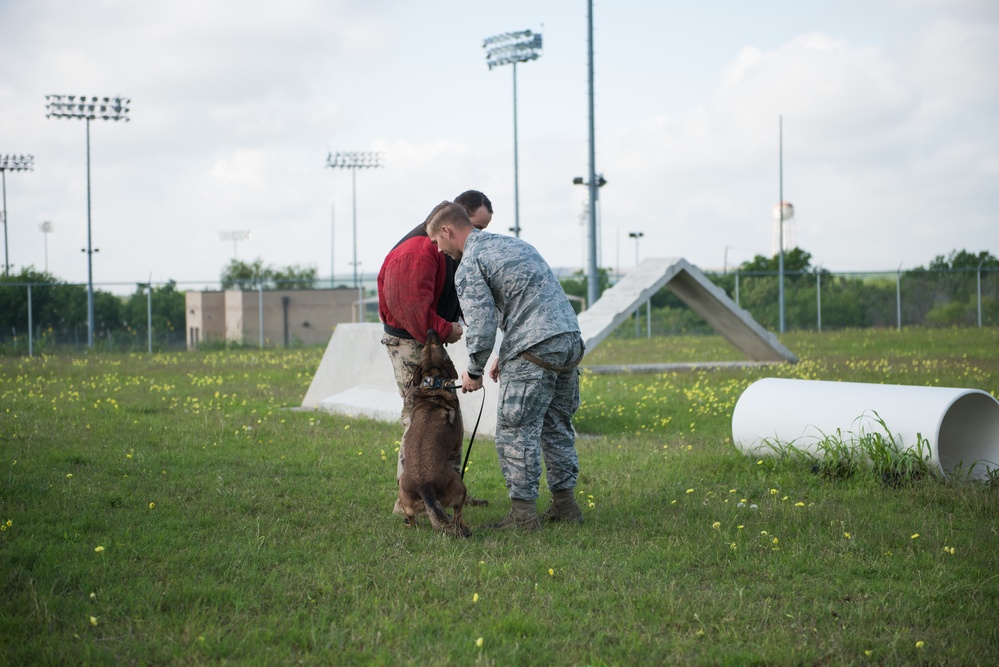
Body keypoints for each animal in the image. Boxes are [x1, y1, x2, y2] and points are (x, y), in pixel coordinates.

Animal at [398, 328, 472, 536]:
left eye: (427, 346)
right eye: (438, 345)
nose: (431, 330)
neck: (433, 383)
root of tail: (425, 486)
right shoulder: (458, 443)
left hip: (405, 499)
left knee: (412, 519)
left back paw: (411, 526)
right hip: (459, 488)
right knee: (457, 515)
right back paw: (464, 527)